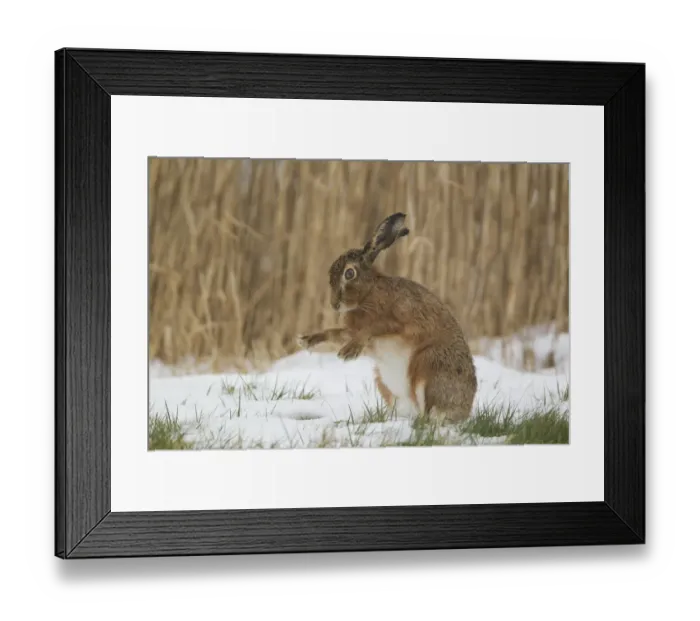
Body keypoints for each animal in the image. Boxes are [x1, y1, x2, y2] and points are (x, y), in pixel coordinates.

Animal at [297, 212, 477, 423]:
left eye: (349, 273)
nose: (335, 305)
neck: (368, 293)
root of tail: (465, 409)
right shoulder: (353, 332)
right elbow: (335, 333)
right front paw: (307, 340)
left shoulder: (398, 320)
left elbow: (371, 328)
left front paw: (348, 352)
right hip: (383, 382)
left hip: (430, 366)